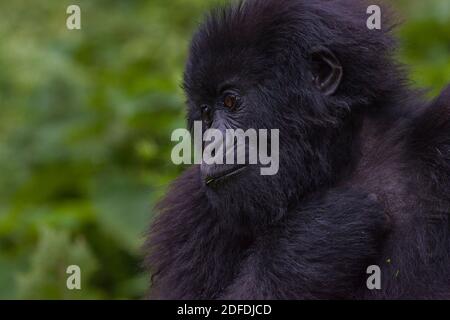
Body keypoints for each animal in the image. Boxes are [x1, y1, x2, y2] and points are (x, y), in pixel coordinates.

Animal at [144, 0, 450, 300]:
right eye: (206, 114)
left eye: (230, 101)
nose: (210, 144)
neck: (342, 159)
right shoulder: (189, 209)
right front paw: (316, 235)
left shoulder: (439, 139)